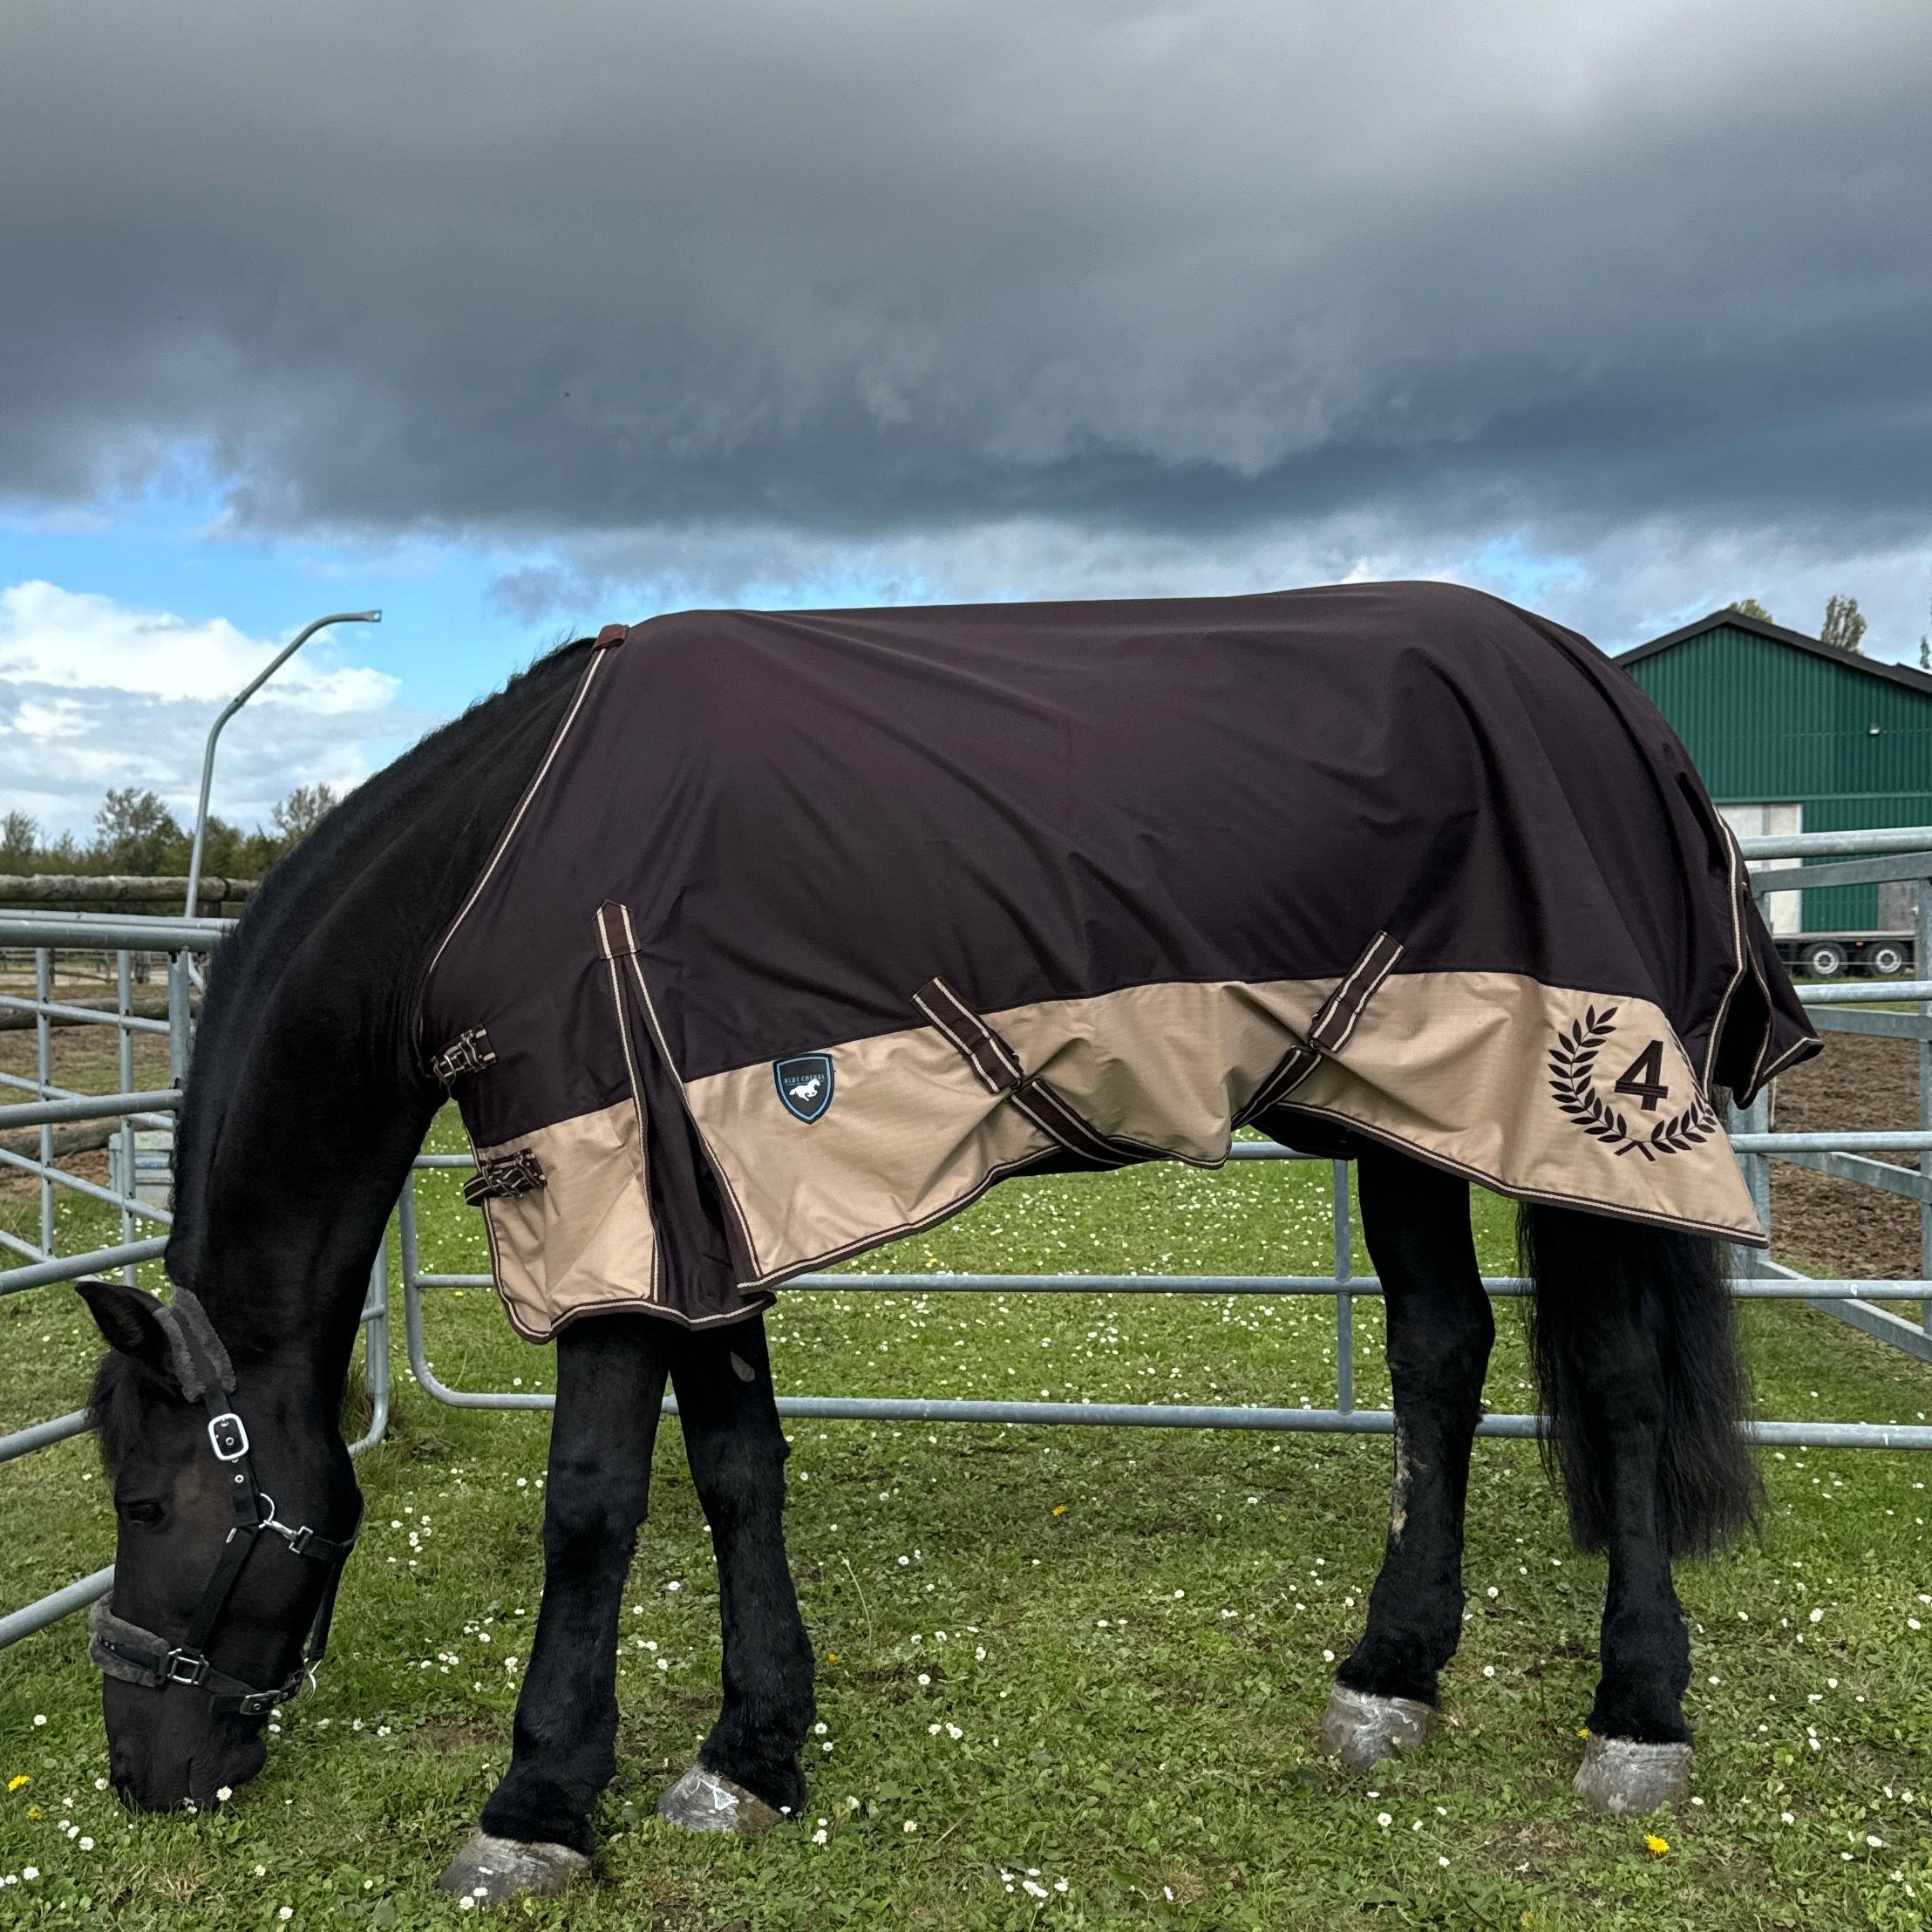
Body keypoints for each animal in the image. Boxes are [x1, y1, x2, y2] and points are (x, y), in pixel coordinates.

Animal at [74, 584, 1794, 1904]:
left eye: (151, 1500)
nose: (143, 1773)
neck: (501, 862)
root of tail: (1601, 688)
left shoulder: (612, 1206)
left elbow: (594, 1507)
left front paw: (536, 1807)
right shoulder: (700, 1195)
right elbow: (736, 1468)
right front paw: (750, 1754)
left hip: (1571, 1124)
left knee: (1620, 1385)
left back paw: (1636, 1718)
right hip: (1407, 1115)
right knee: (1443, 1355)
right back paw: (1389, 1677)